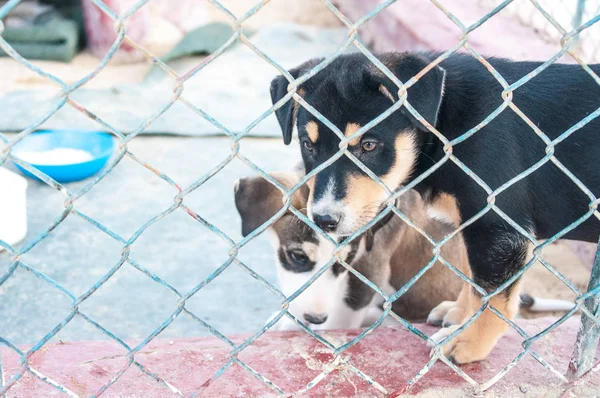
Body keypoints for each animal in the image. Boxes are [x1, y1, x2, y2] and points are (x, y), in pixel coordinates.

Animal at [272, 52, 600, 364]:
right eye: (308, 145)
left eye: (368, 145)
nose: (323, 220)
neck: (445, 124)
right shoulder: (472, 226)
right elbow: (471, 278)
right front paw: (459, 315)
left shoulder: (498, 229)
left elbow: (492, 294)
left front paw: (467, 342)